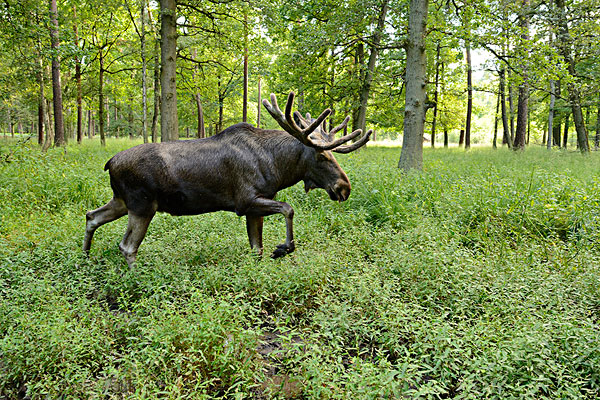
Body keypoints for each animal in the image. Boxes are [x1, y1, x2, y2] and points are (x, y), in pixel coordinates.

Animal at [82, 92, 368, 268]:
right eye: (321, 155)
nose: (344, 188)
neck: (278, 169)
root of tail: (109, 163)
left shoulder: (255, 206)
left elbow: (256, 248)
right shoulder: (246, 201)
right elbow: (289, 209)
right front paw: (282, 248)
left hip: (122, 201)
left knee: (91, 216)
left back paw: (84, 258)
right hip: (142, 205)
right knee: (127, 246)